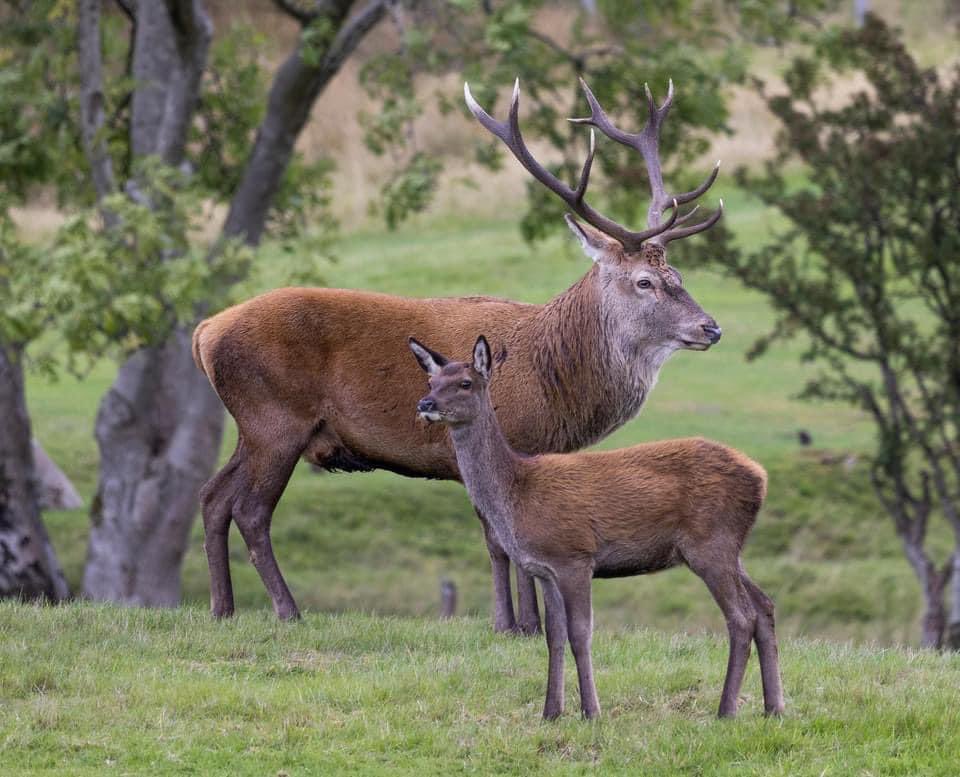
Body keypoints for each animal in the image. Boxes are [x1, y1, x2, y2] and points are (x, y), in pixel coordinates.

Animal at [408, 336, 784, 720]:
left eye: (465, 383)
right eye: (431, 381)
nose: (425, 404)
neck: (517, 494)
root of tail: (761, 477)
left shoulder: (574, 556)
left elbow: (580, 633)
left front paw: (591, 711)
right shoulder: (543, 568)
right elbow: (554, 636)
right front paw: (551, 712)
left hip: (710, 543)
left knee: (742, 616)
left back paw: (727, 709)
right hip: (730, 548)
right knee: (765, 605)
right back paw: (774, 707)